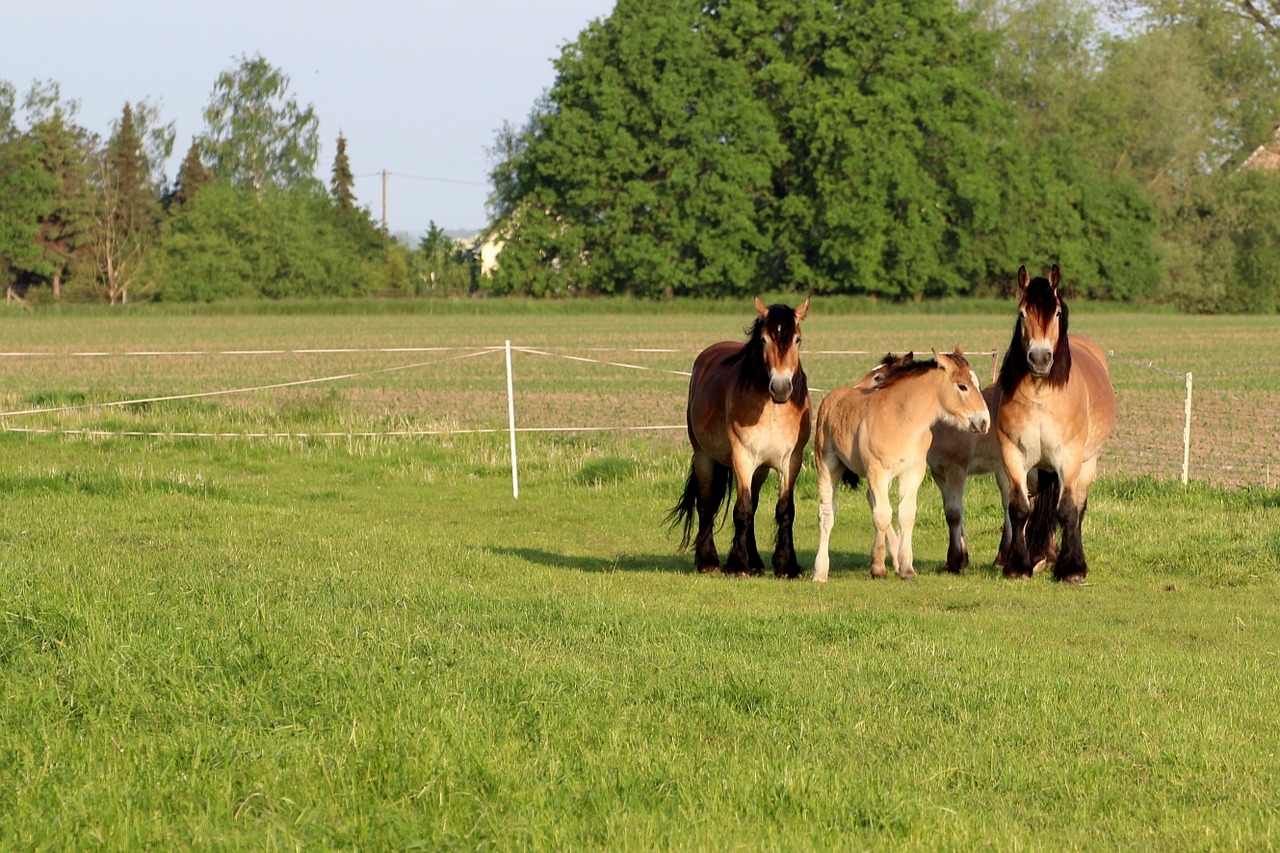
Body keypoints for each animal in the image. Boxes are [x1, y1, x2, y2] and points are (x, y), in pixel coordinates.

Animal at [670, 295, 808, 573]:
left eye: (797, 340)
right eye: (764, 340)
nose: (780, 388)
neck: (773, 410)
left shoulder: (791, 462)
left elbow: (784, 510)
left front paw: (786, 565)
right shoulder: (742, 458)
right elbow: (741, 509)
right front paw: (737, 565)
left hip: (760, 469)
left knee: (752, 506)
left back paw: (755, 561)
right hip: (704, 457)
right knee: (707, 504)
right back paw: (708, 561)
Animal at [814, 345, 993, 578]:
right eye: (962, 386)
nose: (984, 422)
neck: (902, 420)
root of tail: (832, 396)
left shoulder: (912, 472)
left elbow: (905, 515)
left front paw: (906, 568)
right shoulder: (877, 471)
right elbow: (882, 515)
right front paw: (878, 568)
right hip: (828, 465)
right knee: (828, 514)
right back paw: (820, 572)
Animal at [993, 266, 1116, 581]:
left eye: (1057, 312)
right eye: (1022, 312)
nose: (1039, 358)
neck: (1040, 396)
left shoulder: (1068, 458)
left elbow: (1068, 511)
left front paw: (1071, 568)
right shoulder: (1013, 456)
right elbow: (1019, 509)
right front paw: (1018, 566)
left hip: (1086, 464)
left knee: (1078, 507)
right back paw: (1038, 556)